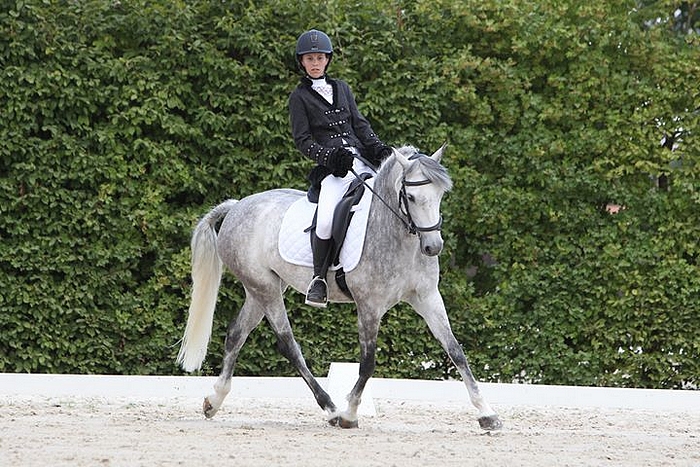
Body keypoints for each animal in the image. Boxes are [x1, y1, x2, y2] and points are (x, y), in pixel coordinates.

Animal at [175, 145, 504, 432]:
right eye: (410, 196)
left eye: (440, 194)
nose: (433, 247)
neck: (397, 235)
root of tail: (237, 206)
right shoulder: (369, 305)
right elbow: (368, 363)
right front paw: (349, 414)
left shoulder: (427, 297)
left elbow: (456, 350)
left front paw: (487, 414)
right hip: (265, 288)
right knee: (288, 344)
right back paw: (331, 409)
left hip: (261, 289)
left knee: (236, 334)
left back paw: (213, 400)